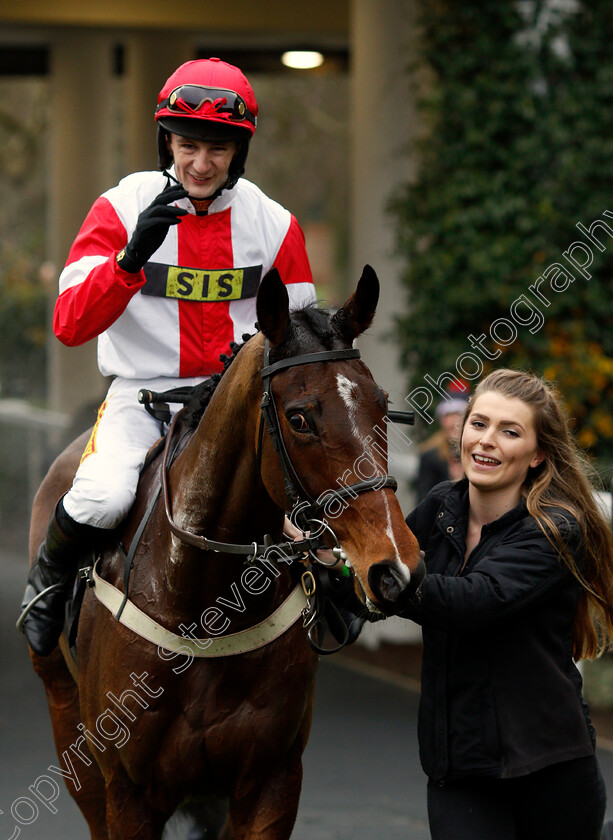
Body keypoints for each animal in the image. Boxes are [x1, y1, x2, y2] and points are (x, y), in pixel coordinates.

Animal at [26, 264, 424, 840]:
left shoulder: (270, 780)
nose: (395, 567)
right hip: (68, 727)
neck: (205, 606)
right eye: (300, 418)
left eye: (381, 404)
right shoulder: (128, 790)